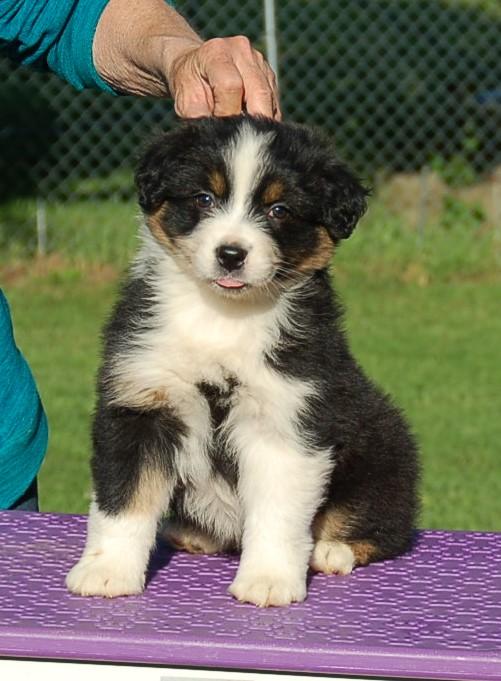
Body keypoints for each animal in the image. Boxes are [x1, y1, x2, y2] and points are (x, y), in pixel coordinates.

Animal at [66, 116, 419, 607]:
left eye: (279, 210)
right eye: (204, 198)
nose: (231, 255)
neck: (222, 315)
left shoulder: (286, 416)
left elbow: (277, 513)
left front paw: (268, 581)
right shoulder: (142, 400)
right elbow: (123, 498)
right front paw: (107, 571)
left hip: (385, 450)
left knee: (384, 524)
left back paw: (332, 550)